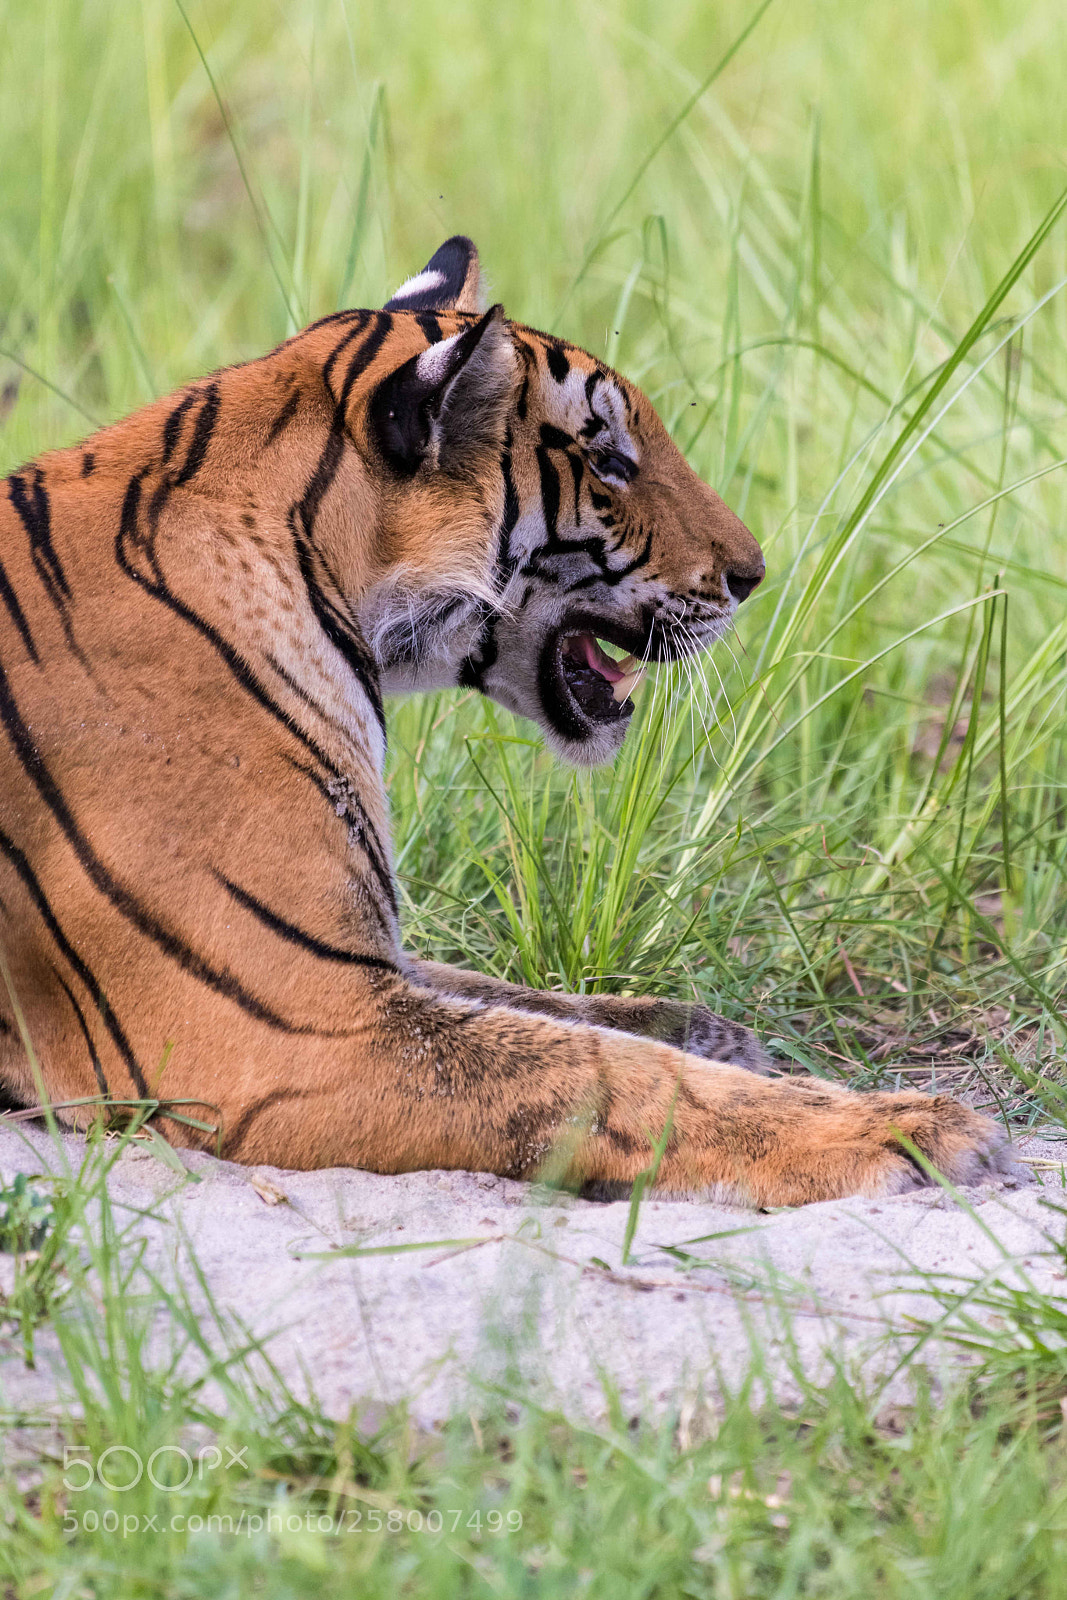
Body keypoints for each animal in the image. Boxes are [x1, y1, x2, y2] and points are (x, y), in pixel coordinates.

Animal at [0, 235, 1021, 1205]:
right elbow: (600, 1070)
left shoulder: (358, 954)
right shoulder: (281, 1017)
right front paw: (910, 1127)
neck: (322, 576)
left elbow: (541, 1004)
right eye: (609, 463)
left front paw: (710, 1030)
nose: (752, 573)